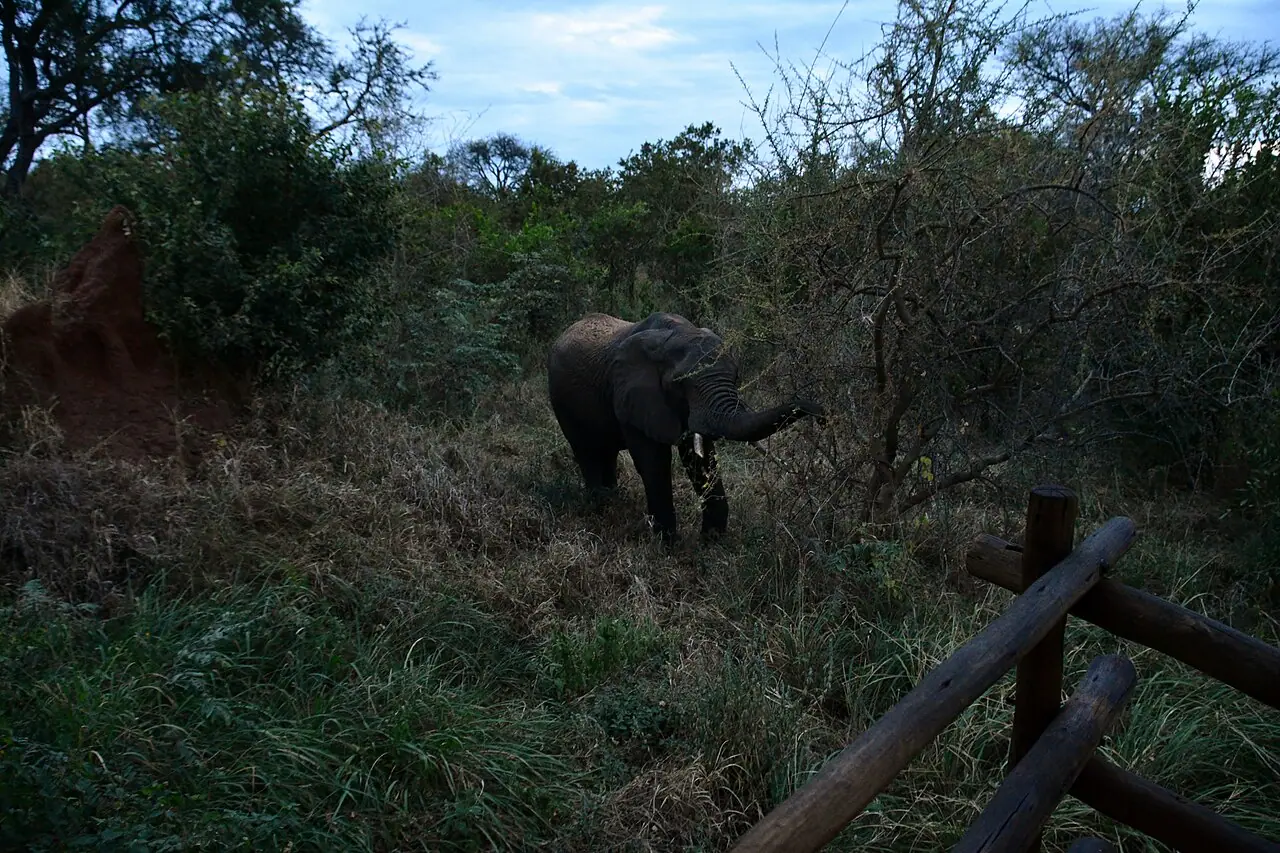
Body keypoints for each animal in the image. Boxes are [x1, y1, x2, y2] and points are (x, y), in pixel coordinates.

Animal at [546, 311, 824, 539]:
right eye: (679, 383)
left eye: (736, 376)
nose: (823, 415)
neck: (673, 332)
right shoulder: (630, 393)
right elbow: (654, 462)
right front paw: (667, 545)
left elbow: (702, 460)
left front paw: (712, 543)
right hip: (562, 400)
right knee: (586, 451)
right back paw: (601, 509)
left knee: (606, 452)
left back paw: (613, 501)